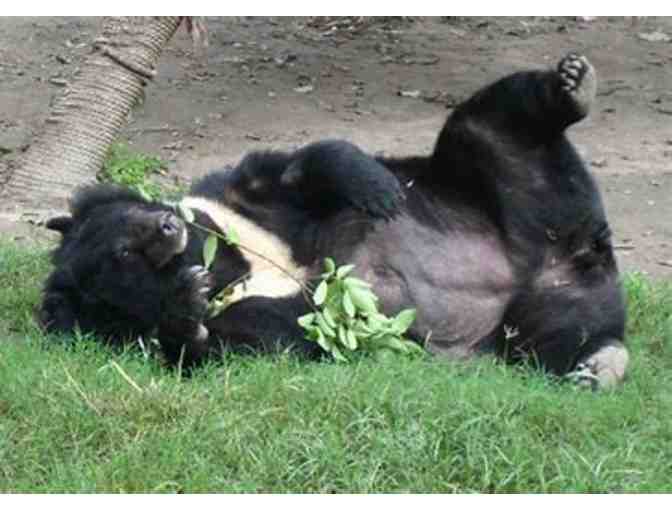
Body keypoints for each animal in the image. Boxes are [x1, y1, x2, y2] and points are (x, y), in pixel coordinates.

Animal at [40, 53, 628, 389]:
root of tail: (574, 254)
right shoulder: (252, 311)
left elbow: (298, 168)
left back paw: (572, 84)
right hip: (525, 319)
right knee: (565, 337)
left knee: (491, 122)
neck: (231, 259)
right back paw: (598, 366)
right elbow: (240, 342)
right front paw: (186, 312)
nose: (166, 228)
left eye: (135, 215)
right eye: (124, 257)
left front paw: (380, 191)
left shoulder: (235, 202)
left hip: (509, 185)